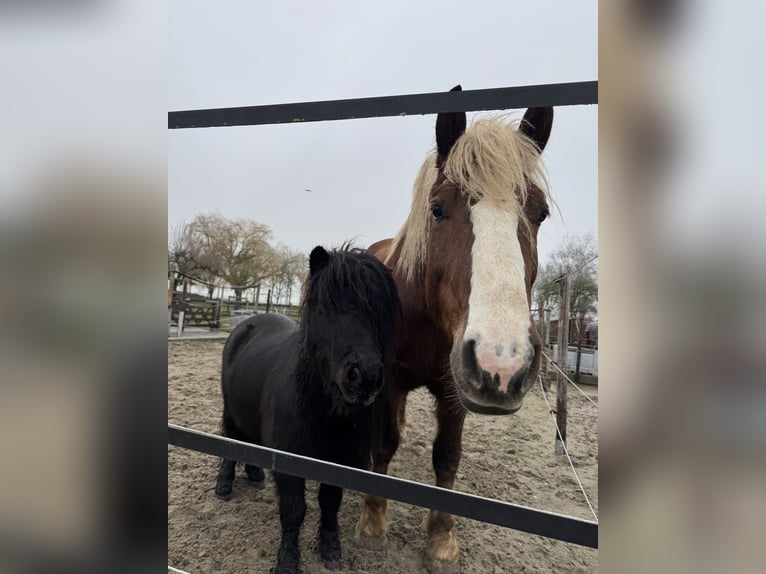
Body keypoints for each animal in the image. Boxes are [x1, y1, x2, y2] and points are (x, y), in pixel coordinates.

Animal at [214, 245, 400, 574]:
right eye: (327, 308)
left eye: (379, 312)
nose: (364, 377)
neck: (321, 411)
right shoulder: (290, 463)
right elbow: (293, 511)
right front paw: (288, 560)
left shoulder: (339, 462)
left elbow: (330, 503)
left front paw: (330, 549)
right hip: (230, 410)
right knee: (232, 440)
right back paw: (224, 484)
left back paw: (255, 474)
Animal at [355, 86, 555, 573]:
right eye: (438, 209)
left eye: (539, 213)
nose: (503, 364)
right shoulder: (390, 380)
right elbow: (383, 444)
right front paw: (373, 521)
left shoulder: (454, 390)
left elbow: (447, 457)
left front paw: (442, 539)